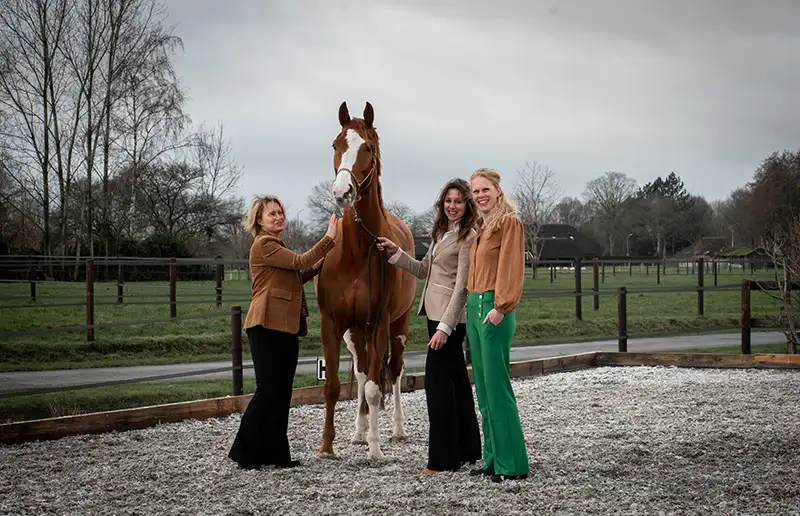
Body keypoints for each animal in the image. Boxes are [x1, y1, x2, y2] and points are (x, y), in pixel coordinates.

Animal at [312, 101, 416, 460]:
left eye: (367, 147)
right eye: (335, 144)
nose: (342, 191)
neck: (357, 251)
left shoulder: (379, 324)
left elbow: (374, 388)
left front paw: (375, 448)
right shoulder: (332, 323)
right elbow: (333, 387)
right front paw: (327, 446)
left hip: (396, 326)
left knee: (394, 372)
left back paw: (396, 429)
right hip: (355, 333)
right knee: (358, 374)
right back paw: (358, 432)